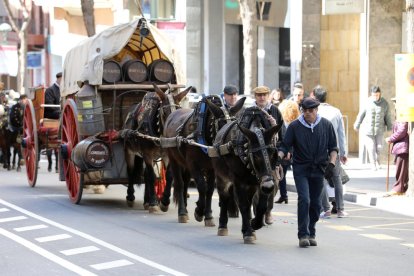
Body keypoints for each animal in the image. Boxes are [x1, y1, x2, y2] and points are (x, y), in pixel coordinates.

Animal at [162, 96, 246, 225]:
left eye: (235, 125)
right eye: (221, 124)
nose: (231, 148)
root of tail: (173, 113)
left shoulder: (212, 167)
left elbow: (210, 190)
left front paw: (208, 215)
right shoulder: (193, 164)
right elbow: (202, 186)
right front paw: (199, 211)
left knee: (185, 181)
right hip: (173, 157)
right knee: (179, 182)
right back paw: (181, 212)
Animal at [210, 105, 282, 244]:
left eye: (273, 153)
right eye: (256, 156)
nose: (268, 187)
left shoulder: (261, 181)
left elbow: (261, 205)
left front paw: (254, 224)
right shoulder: (239, 181)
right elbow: (243, 205)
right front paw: (249, 232)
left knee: (248, 203)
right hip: (221, 178)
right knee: (224, 198)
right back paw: (223, 226)